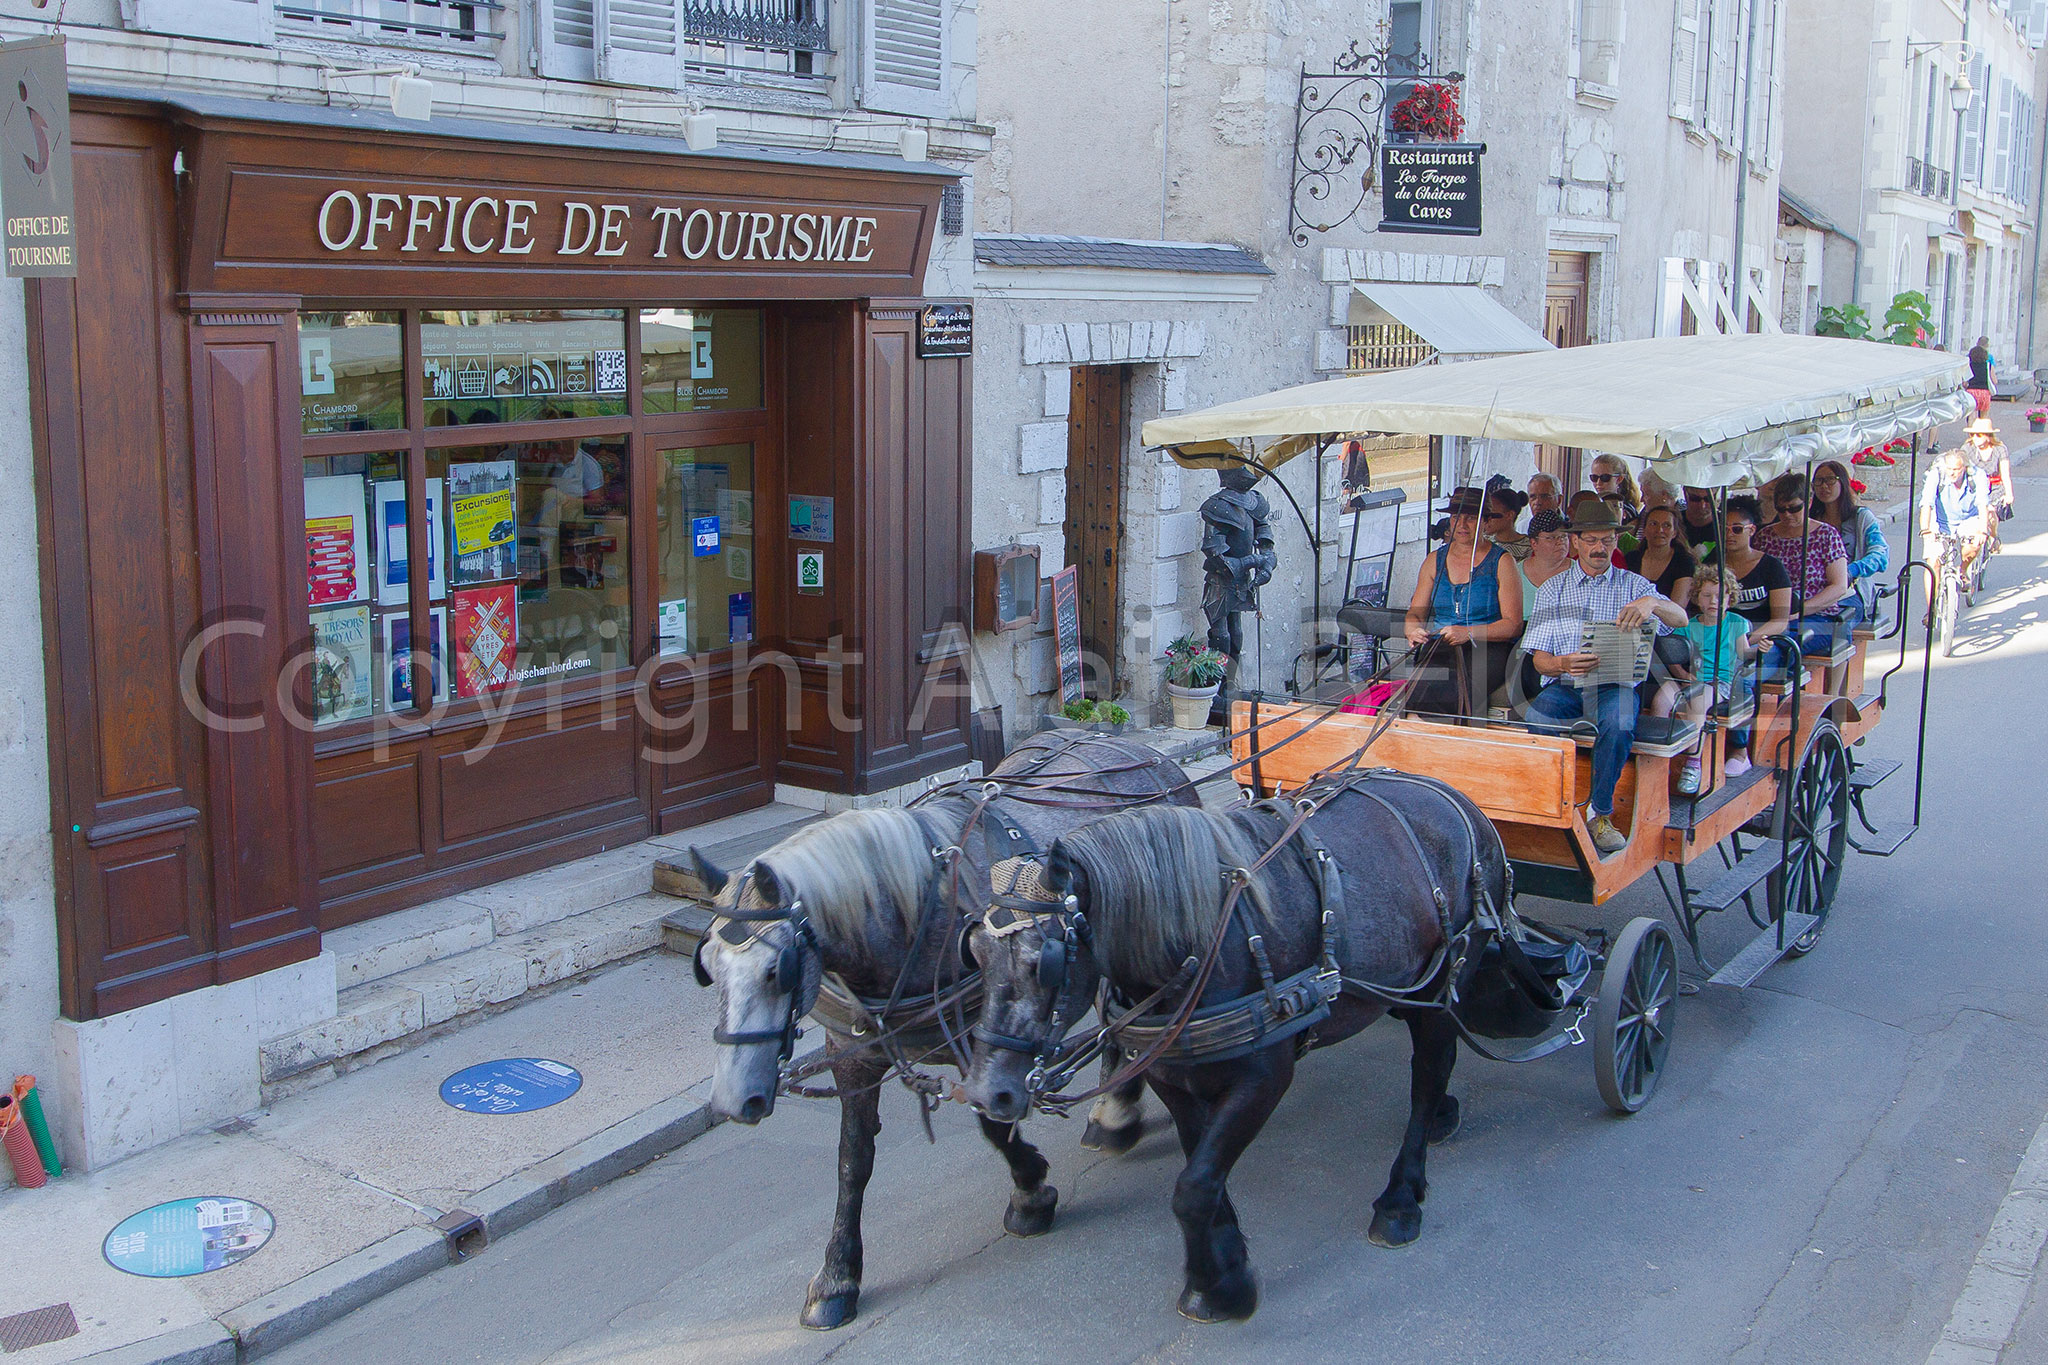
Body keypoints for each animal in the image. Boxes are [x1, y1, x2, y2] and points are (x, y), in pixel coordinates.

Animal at [692, 732, 1196, 1326]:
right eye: (706, 966)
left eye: (779, 971)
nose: (732, 1101)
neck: (911, 913)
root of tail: (1150, 756)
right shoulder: (854, 1053)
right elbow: (852, 1161)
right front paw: (838, 1276)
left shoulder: (985, 1040)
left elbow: (994, 1122)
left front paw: (1031, 1192)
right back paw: (1113, 1109)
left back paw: (1117, 1112)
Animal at [958, 777, 1507, 1326]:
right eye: (975, 952)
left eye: (1043, 961)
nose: (987, 1094)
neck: (1201, 942)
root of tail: (1449, 794)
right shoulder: (1173, 1076)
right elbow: (1203, 1175)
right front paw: (1226, 1261)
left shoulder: (1264, 1079)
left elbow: (1193, 1188)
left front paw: (1218, 1287)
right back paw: (1442, 1117)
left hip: (1444, 981)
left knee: (1429, 1072)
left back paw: (1401, 1197)